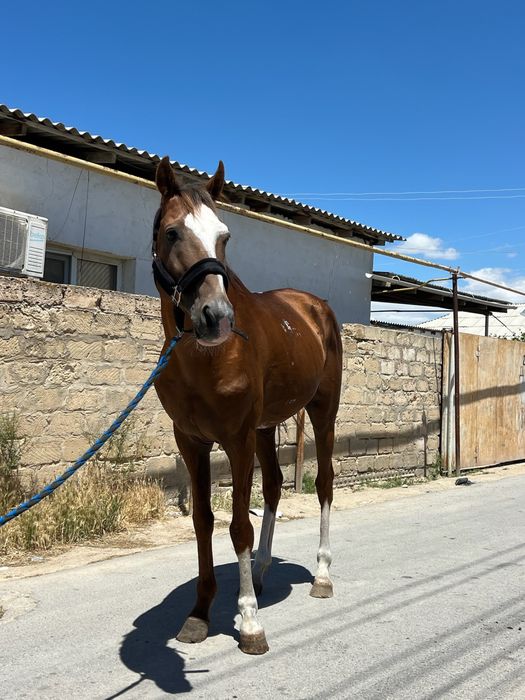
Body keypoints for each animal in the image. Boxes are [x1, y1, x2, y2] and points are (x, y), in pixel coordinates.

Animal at [152, 156, 342, 654]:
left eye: (224, 236)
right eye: (172, 233)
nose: (216, 317)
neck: (207, 358)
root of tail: (315, 306)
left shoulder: (236, 439)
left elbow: (239, 524)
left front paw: (250, 622)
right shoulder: (192, 441)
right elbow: (203, 521)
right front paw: (200, 612)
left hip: (322, 414)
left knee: (325, 485)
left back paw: (321, 574)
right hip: (265, 426)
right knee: (274, 486)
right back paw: (259, 571)